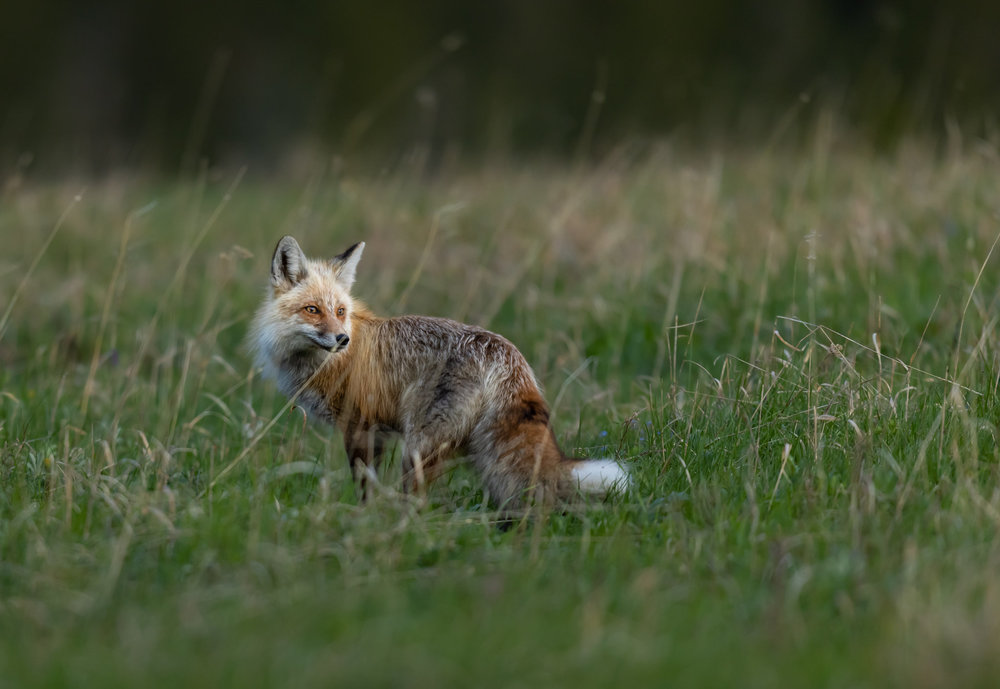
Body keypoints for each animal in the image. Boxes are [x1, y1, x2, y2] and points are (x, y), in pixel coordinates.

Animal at [249, 235, 629, 508]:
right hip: (476, 452)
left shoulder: (360, 427)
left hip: (418, 451)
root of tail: (508, 356)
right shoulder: (378, 433)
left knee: (417, 505)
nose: (342, 339)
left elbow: (363, 489)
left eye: (340, 311)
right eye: (313, 310)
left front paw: (361, 523)